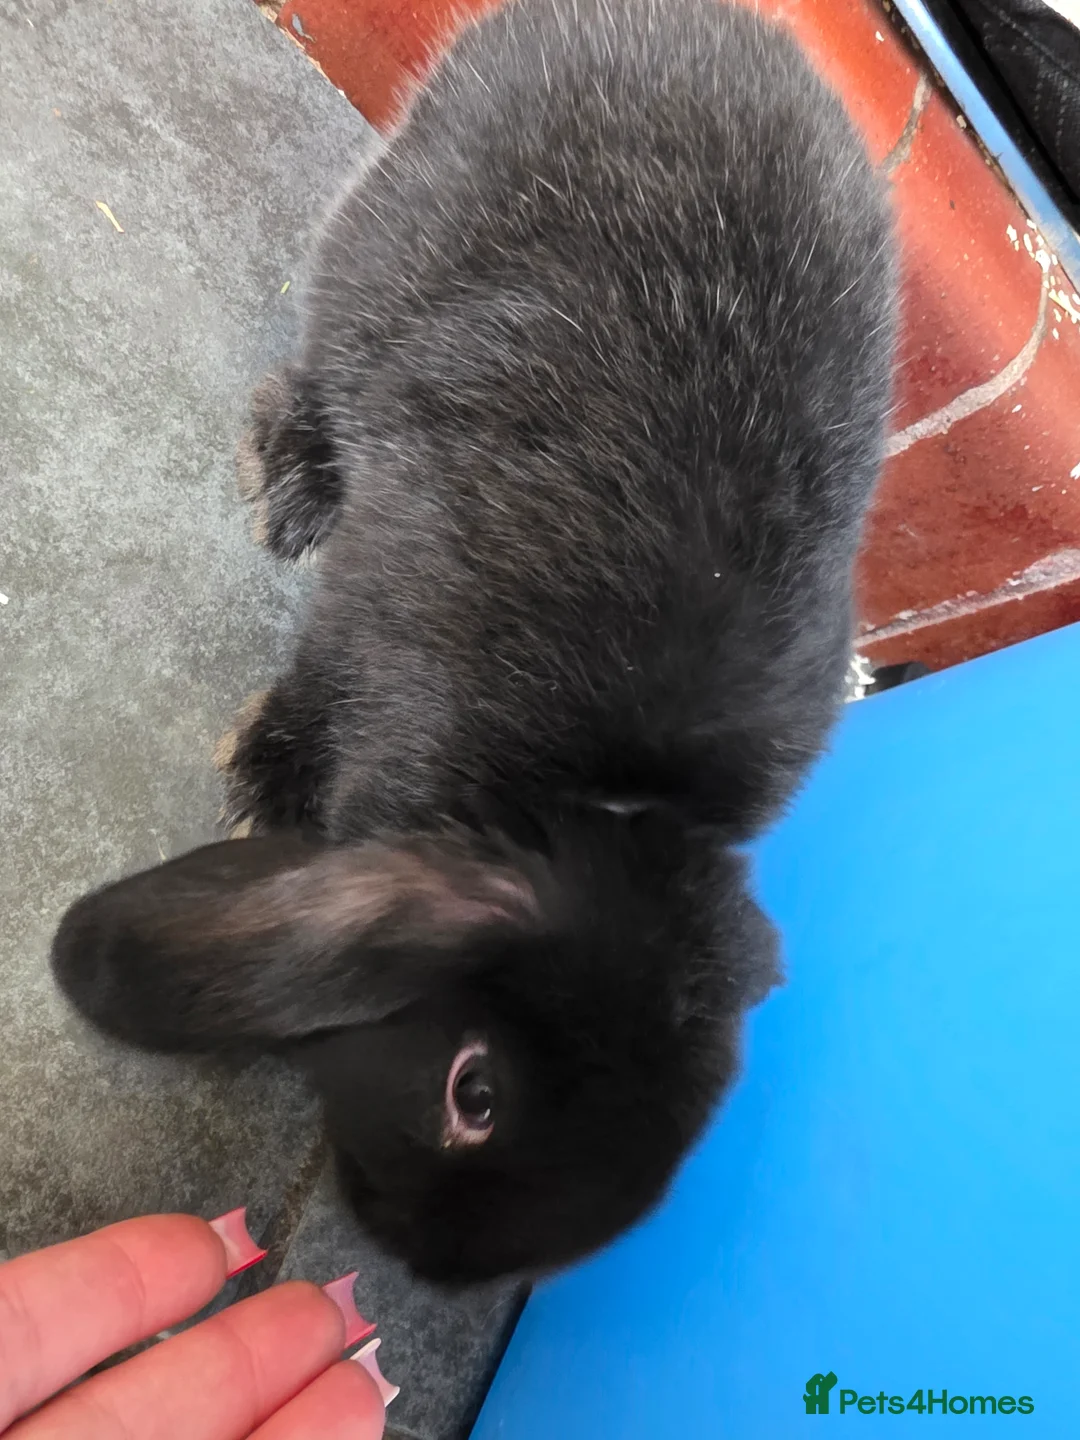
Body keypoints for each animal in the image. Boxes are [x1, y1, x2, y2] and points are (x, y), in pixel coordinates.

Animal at [51, 0, 897, 1284]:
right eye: (475, 1092)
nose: (419, 1262)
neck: (602, 799)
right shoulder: (375, 615)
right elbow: (317, 675)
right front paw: (265, 781)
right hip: (388, 240)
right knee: (326, 356)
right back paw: (294, 483)